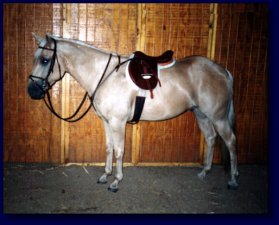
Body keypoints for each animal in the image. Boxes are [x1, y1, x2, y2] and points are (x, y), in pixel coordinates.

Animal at [27, 33, 240, 192]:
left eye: (45, 60)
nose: (32, 91)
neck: (106, 75)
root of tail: (223, 71)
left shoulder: (117, 122)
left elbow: (119, 151)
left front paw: (116, 181)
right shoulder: (106, 122)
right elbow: (109, 148)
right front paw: (105, 175)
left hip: (218, 118)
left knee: (230, 141)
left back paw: (233, 180)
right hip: (202, 115)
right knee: (211, 138)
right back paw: (205, 171)